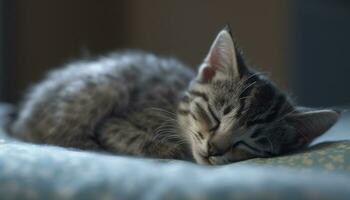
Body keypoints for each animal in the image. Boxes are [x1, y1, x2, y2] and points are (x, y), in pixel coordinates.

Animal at [10, 26, 340, 164]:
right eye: (215, 116)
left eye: (250, 143)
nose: (214, 149)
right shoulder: (115, 122)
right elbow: (131, 136)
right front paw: (169, 149)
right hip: (106, 84)